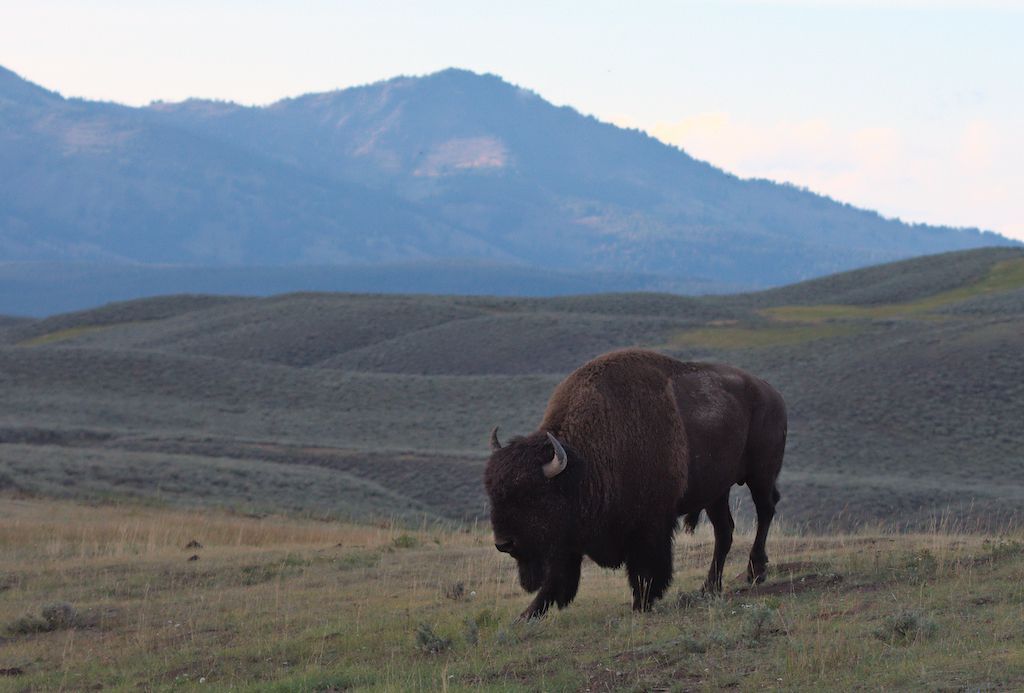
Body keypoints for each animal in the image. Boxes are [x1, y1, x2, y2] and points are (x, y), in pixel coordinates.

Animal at [484, 348, 786, 619]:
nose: (503, 543)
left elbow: (645, 568)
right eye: (493, 495)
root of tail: (771, 393)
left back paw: (755, 571)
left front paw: (642, 603)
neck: (582, 466)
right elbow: (557, 578)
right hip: (716, 492)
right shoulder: (569, 538)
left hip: (760, 475)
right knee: (725, 531)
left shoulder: (650, 525)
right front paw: (527, 614)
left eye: (532, 496)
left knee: (765, 511)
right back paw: (709, 588)